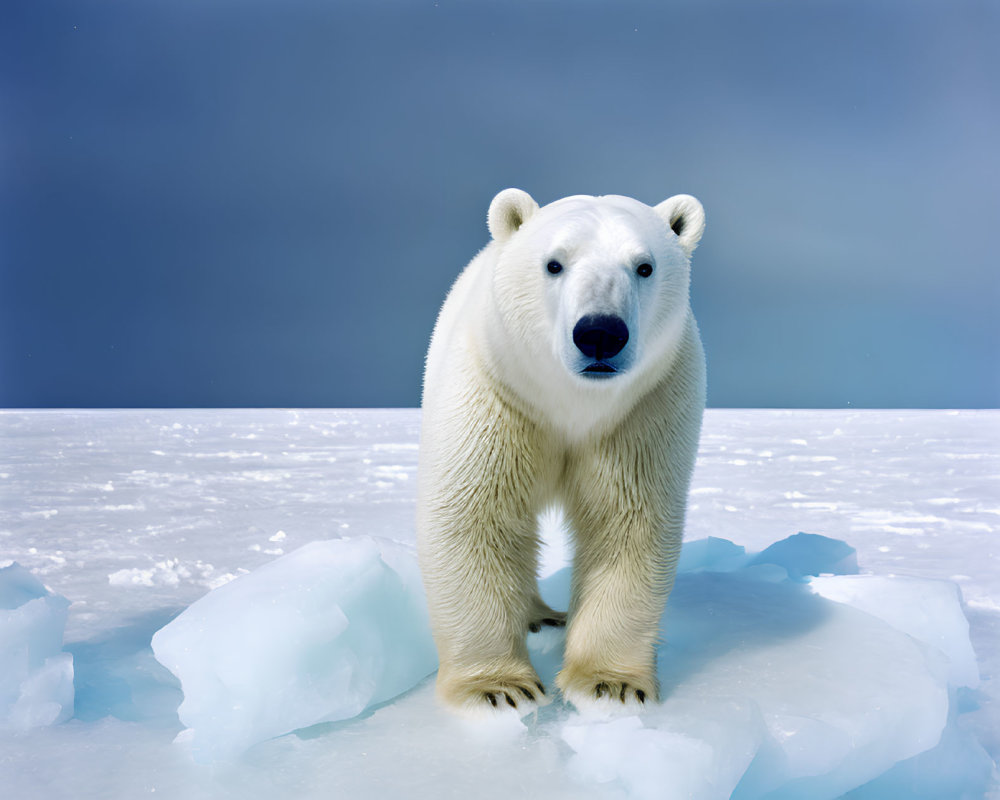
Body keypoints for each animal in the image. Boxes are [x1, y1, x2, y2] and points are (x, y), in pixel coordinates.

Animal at [418, 191, 708, 716]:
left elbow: (626, 521)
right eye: (554, 264)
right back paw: (536, 615)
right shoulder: (496, 395)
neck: (572, 403)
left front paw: (610, 684)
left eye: (645, 266)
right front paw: (496, 688)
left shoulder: (644, 411)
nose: (600, 333)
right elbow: (473, 516)